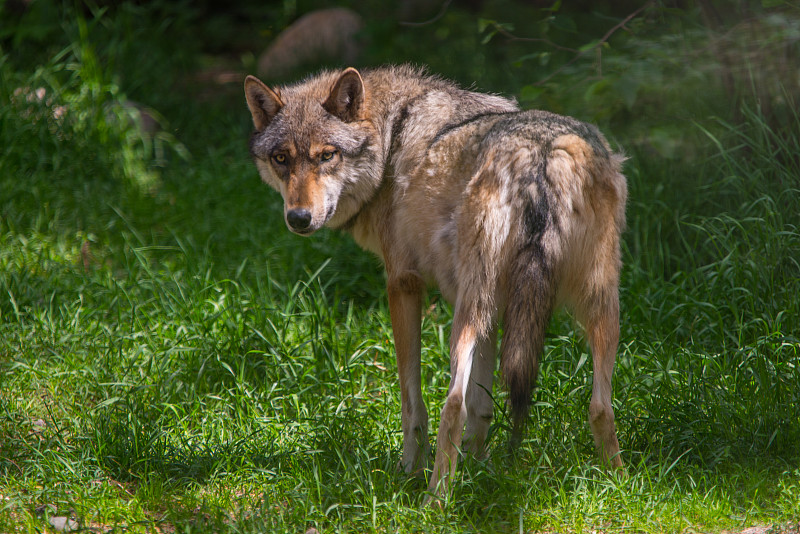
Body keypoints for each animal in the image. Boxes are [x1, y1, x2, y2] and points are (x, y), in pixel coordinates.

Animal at [241, 66, 628, 502]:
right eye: (281, 158)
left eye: (327, 155)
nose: (299, 218)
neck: (390, 137)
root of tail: (541, 154)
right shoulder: (496, 307)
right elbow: (483, 405)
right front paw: (479, 469)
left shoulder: (403, 285)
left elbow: (414, 402)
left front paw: (410, 470)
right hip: (594, 308)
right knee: (600, 406)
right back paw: (619, 484)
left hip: (468, 313)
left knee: (452, 403)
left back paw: (434, 499)